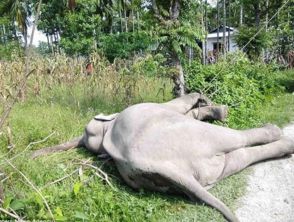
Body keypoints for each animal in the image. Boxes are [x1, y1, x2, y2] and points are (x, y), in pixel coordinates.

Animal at [32, 93, 294, 222]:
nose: (208, 99)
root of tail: (163, 166)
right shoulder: (157, 108)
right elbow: (178, 106)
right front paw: (212, 106)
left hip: (204, 168)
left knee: (236, 159)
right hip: (192, 137)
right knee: (234, 139)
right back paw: (280, 136)